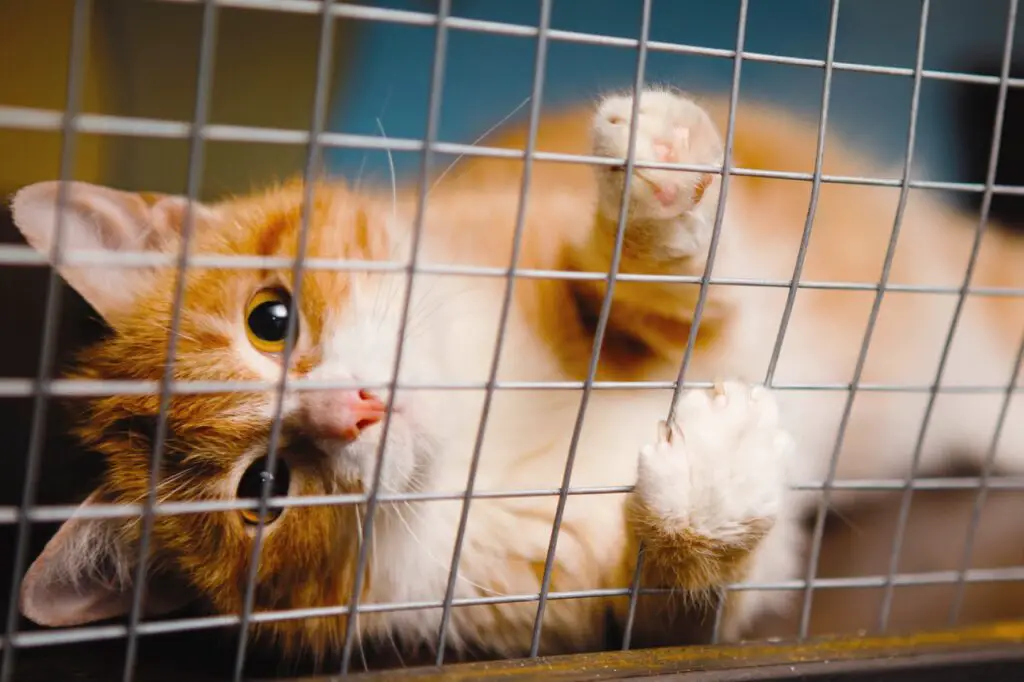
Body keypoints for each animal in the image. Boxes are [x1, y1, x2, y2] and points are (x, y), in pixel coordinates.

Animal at [8, 87, 1024, 659]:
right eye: (263, 490)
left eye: (272, 319)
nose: (354, 409)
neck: (488, 430)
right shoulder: (602, 602)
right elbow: (685, 595)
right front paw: (707, 494)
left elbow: (675, 285)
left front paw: (657, 185)